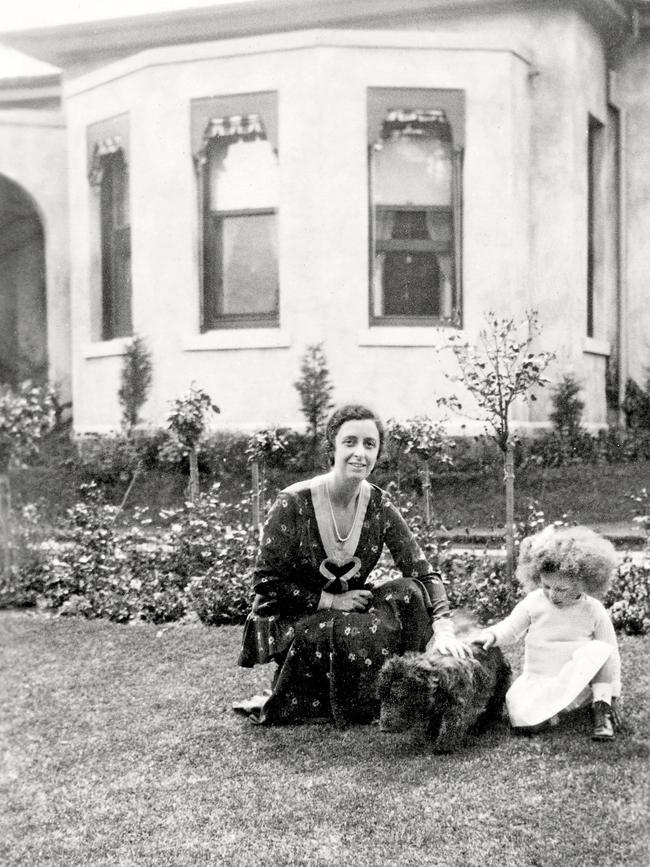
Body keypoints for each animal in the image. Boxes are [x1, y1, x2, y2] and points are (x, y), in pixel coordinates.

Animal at [378, 644, 508, 752]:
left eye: (400, 697)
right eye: (382, 698)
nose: (383, 728)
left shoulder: (456, 707)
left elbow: (451, 726)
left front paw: (443, 746)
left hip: (498, 691)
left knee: (493, 708)